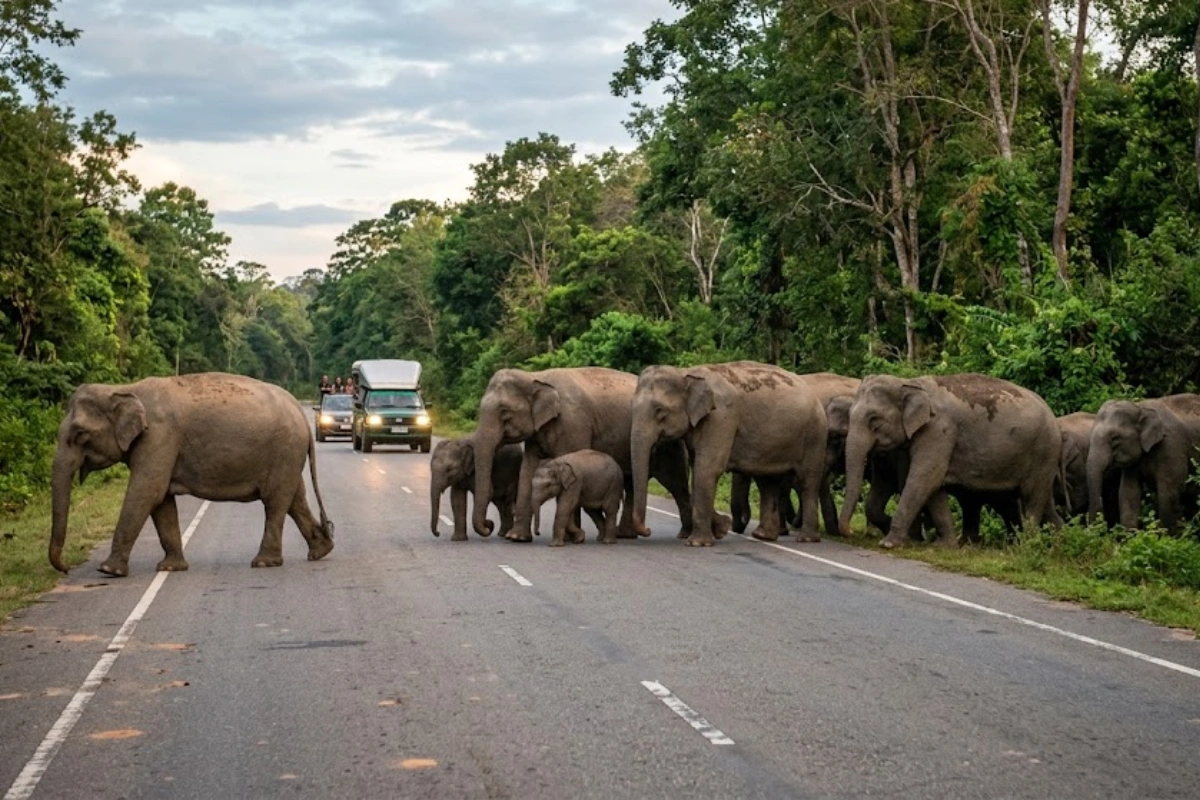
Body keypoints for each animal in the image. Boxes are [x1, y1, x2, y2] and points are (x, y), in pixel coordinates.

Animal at [50, 373, 334, 577]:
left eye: (79, 434)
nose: (66, 569)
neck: (124, 388)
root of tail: (301, 411)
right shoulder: (158, 444)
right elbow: (161, 501)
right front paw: (170, 568)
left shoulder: (159, 438)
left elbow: (147, 492)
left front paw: (108, 570)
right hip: (287, 457)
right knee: (295, 499)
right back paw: (321, 551)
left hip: (285, 451)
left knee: (275, 503)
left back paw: (264, 563)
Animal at [471, 367, 693, 543]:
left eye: (504, 413)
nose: (489, 526)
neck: (536, 376)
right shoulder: (537, 433)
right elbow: (527, 470)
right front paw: (517, 538)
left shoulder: (573, 425)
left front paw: (571, 538)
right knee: (632, 482)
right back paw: (624, 535)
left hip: (669, 445)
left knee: (676, 483)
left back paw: (684, 534)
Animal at [632, 361, 828, 547]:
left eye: (660, 411)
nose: (648, 530)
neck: (686, 373)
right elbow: (699, 471)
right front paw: (721, 528)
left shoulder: (721, 416)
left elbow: (708, 469)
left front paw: (698, 543)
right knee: (767, 482)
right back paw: (763, 536)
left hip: (814, 436)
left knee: (807, 481)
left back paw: (806, 539)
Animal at [838, 373, 1060, 549]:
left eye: (874, 420)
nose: (850, 532)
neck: (910, 383)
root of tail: (1052, 414)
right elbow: (933, 487)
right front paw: (943, 546)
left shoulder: (939, 431)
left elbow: (925, 479)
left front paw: (888, 544)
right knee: (1044, 501)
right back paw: (1056, 544)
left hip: (1043, 451)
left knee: (1032, 499)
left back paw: (1027, 546)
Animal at [1086, 395, 1200, 533]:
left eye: (1115, 438)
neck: (1140, 408)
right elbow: (1129, 492)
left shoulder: (1171, 446)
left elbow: (1170, 492)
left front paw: (1170, 536)